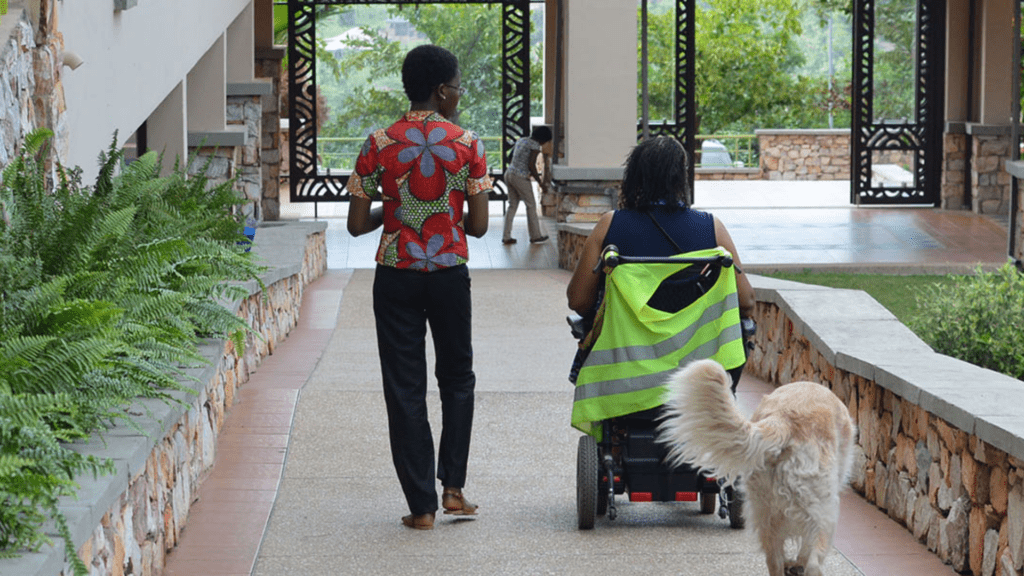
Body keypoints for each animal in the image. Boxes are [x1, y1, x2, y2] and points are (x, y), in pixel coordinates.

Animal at [655, 356, 856, 569]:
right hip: (823, 512)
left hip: (765, 511)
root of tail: (782, 420)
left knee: (774, 560)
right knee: (813, 562)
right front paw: (797, 564)